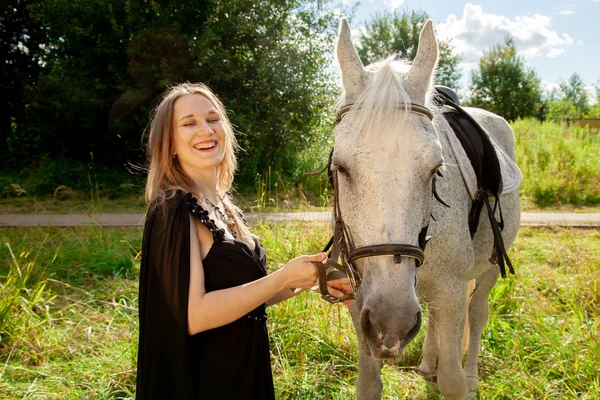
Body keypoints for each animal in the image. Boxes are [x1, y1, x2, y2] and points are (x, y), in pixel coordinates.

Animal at [332, 17, 520, 398]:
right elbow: (368, 384)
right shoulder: (360, 298)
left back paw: (471, 375)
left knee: (478, 312)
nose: (391, 322)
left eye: (436, 169)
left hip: (490, 267)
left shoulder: (451, 291)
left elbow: (453, 380)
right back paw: (428, 363)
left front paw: (457, 379)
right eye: (340, 167)